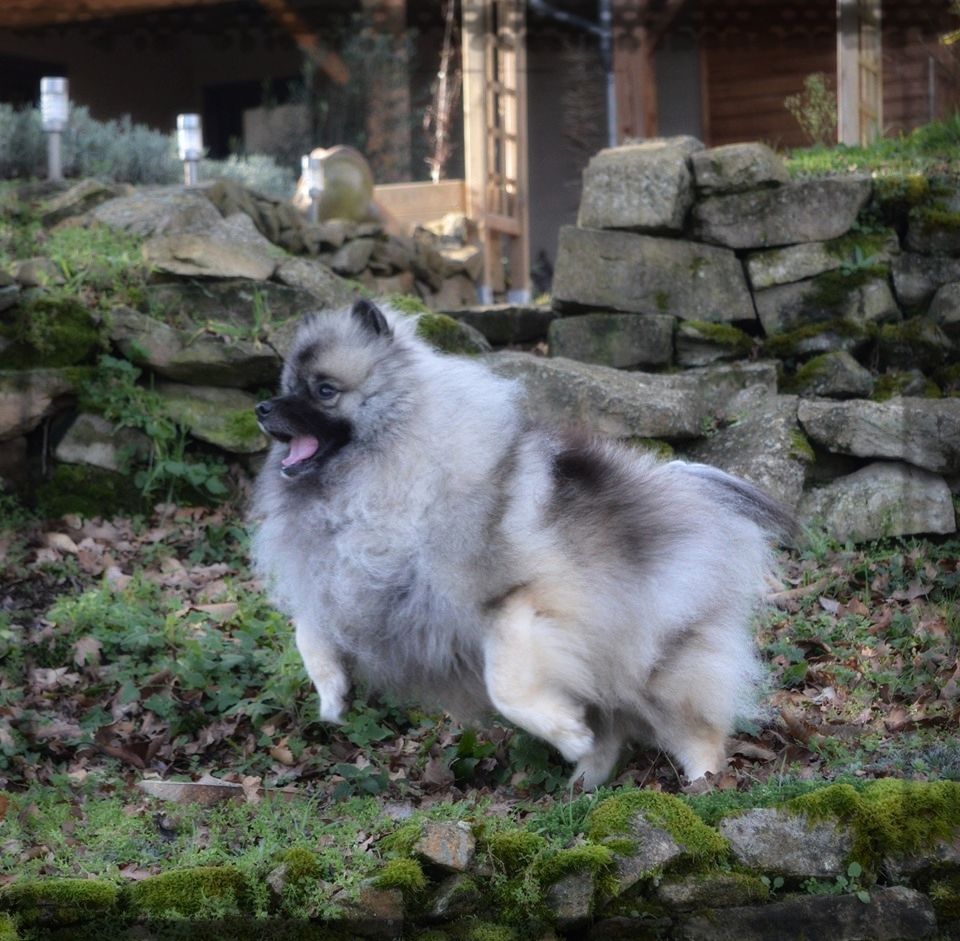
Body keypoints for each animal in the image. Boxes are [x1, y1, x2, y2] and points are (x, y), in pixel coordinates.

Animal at [251, 302, 792, 784]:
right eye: (285, 386)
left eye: (324, 391)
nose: (260, 407)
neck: (391, 465)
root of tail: (692, 490)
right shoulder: (349, 585)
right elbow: (307, 630)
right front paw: (331, 693)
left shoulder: (515, 602)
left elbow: (505, 687)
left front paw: (565, 733)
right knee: (612, 725)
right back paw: (583, 783)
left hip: (654, 663)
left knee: (697, 729)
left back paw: (699, 784)